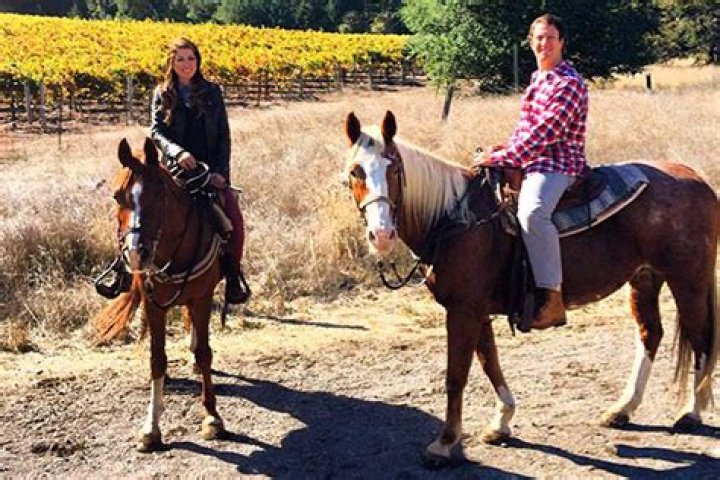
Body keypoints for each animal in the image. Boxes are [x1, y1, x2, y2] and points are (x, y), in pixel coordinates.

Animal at [93, 138, 225, 452]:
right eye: (117, 196)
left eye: (159, 195)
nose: (135, 253)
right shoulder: (153, 305)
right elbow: (157, 360)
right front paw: (151, 428)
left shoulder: (202, 298)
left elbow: (205, 354)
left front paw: (212, 417)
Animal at [342, 111, 718, 467]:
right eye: (355, 172)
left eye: (394, 168)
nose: (381, 235)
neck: (456, 219)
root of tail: (696, 178)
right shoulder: (476, 311)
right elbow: (489, 362)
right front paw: (501, 422)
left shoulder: (463, 311)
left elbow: (456, 376)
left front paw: (444, 444)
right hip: (644, 278)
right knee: (650, 334)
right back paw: (623, 409)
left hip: (688, 280)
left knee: (700, 337)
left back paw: (691, 412)